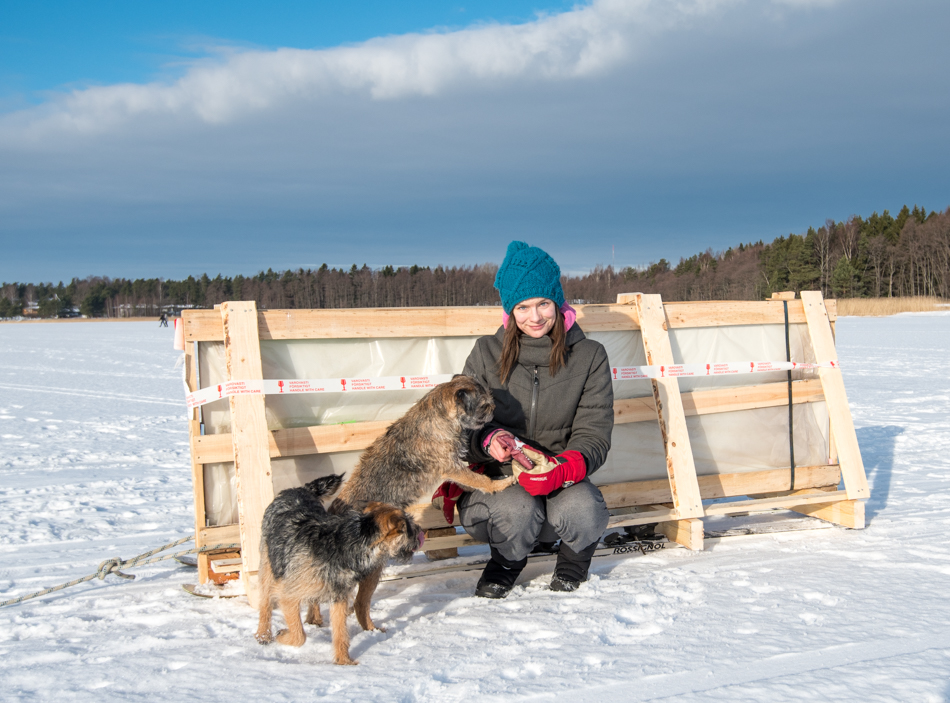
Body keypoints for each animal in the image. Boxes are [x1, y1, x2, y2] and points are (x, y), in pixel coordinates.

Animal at [255, 472, 422, 664]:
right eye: (408, 527)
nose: (420, 531)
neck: (347, 541)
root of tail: (298, 489)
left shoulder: (339, 597)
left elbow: (341, 632)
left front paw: (344, 661)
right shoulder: (287, 594)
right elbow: (299, 635)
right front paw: (282, 635)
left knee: (312, 600)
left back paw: (314, 618)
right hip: (268, 566)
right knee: (265, 602)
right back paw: (263, 635)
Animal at [332, 376, 516, 636]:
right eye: (483, 405)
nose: (493, 409)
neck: (439, 415)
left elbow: (469, 480)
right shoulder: (450, 465)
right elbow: (478, 479)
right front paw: (497, 485)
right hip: (371, 567)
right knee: (358, 602)